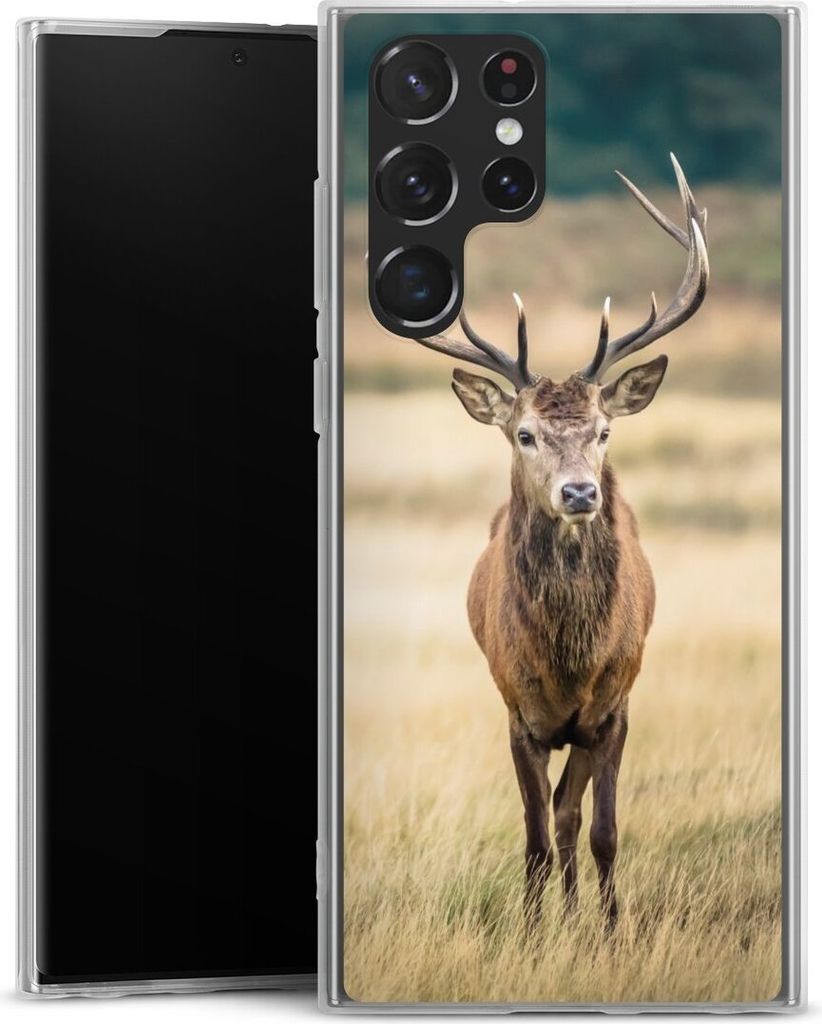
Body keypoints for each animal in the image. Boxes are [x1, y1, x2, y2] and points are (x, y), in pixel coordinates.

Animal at [411, 155, 709, 928]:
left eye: (603, 431)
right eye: (525, 434)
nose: (579, 493)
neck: (570, 660)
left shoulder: (615, 706)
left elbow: (600, 829)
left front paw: (608, 929)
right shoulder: (517, 711)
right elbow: (536, 837)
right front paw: (533, 929)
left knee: (573, 815)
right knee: (552, 818)